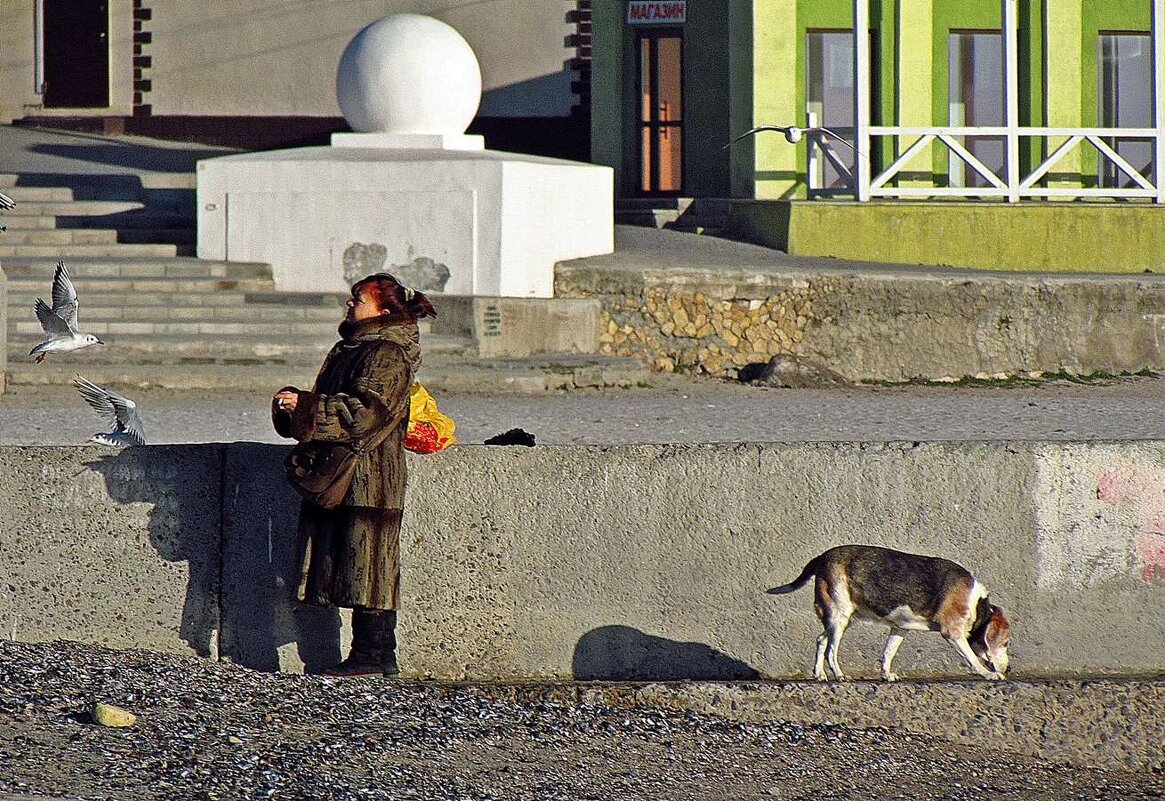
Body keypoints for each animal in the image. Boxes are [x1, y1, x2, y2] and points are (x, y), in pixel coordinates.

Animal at [764, 544, 1011, 679]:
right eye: (1006, 642)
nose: (1009, 670)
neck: (977, 605)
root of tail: (822, 557)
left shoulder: (899, 628)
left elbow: (887, 653)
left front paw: (886, 674)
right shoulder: (953, 633)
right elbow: (972, 659)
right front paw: (988, 674)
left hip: (842, 618)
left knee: (821, 640)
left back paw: (820, 675)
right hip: (838, 615)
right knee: (830, 650)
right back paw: (838, 675)